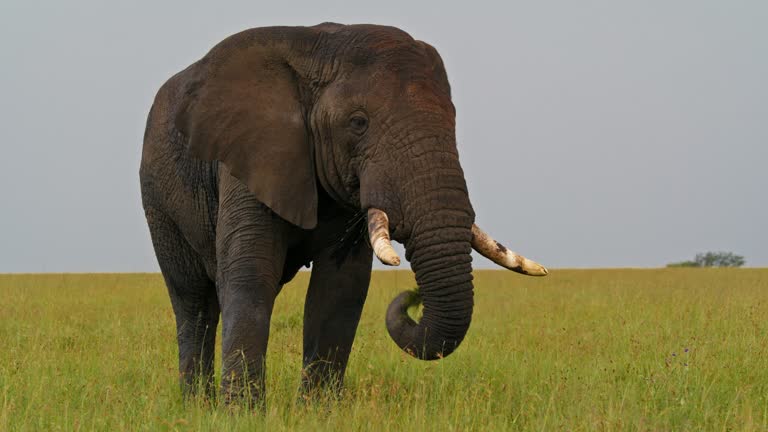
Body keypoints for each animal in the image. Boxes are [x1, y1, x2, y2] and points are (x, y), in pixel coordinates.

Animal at [138, 22, 544, 404]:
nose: (413, 296)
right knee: (194, 302)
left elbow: (339, 288)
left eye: (453, 120)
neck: (319, 52)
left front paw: (316, 412)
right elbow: (250, 276)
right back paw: (196, 406)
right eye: (358, 122)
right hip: (158, 201)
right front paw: (241, 414)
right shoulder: (248, 155)